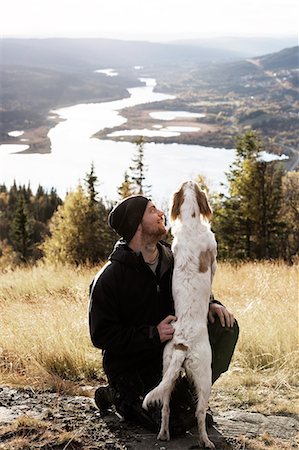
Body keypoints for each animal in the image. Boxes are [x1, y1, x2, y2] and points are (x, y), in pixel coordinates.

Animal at [144, 181, 218, 448]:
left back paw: (164, 434)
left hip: (167, 370)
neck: (191, 223)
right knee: (199, 412)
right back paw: (205, 440)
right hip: (204, 375)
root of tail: (182, 344)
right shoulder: (214, 254)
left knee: (165, 407)